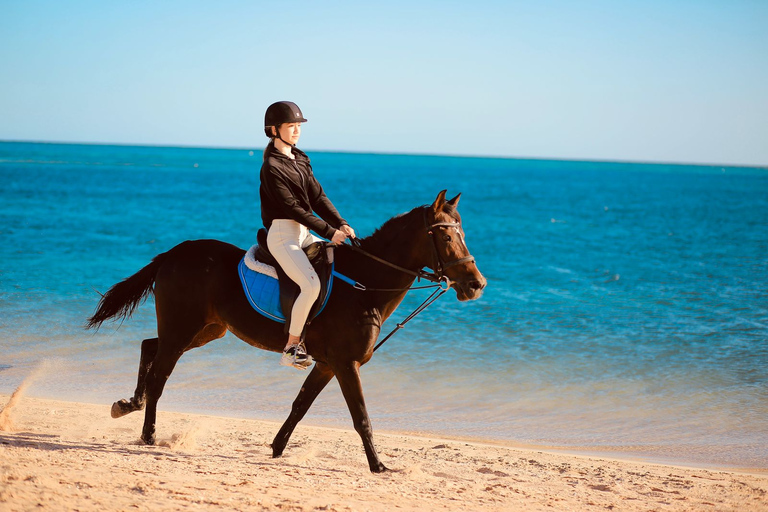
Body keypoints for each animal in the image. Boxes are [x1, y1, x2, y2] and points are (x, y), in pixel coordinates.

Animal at [88, 191, 486, 472]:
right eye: (446, 238)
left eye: (464, 233)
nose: (476, 285)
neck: (365, 285)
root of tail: (172, 254)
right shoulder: (346, 365)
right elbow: (361, 417)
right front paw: (379, 466)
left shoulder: (326, 365)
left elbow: (300, 406)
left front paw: (276, 448)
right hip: (184, 330)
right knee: (159, 375)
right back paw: (148, 434)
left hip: (205, 331)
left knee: (148, 346)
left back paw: (127, 404)